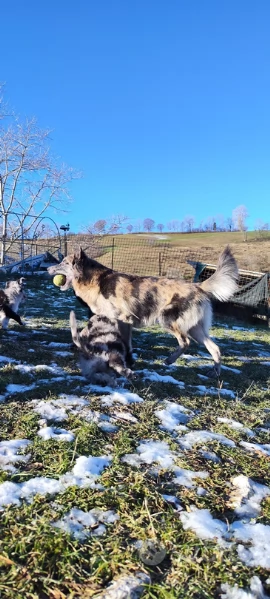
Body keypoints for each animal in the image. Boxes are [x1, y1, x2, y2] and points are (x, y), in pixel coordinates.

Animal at [47, 246, 237, 372]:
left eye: (63, 262)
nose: (48, 268)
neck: (95, 280)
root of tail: (198, 286)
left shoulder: (122, 320)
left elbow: (123, 342)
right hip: (196, 330)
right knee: (215, 348)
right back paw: (216, 372)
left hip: (167, 320)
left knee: (185, 342)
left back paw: (169, 360)